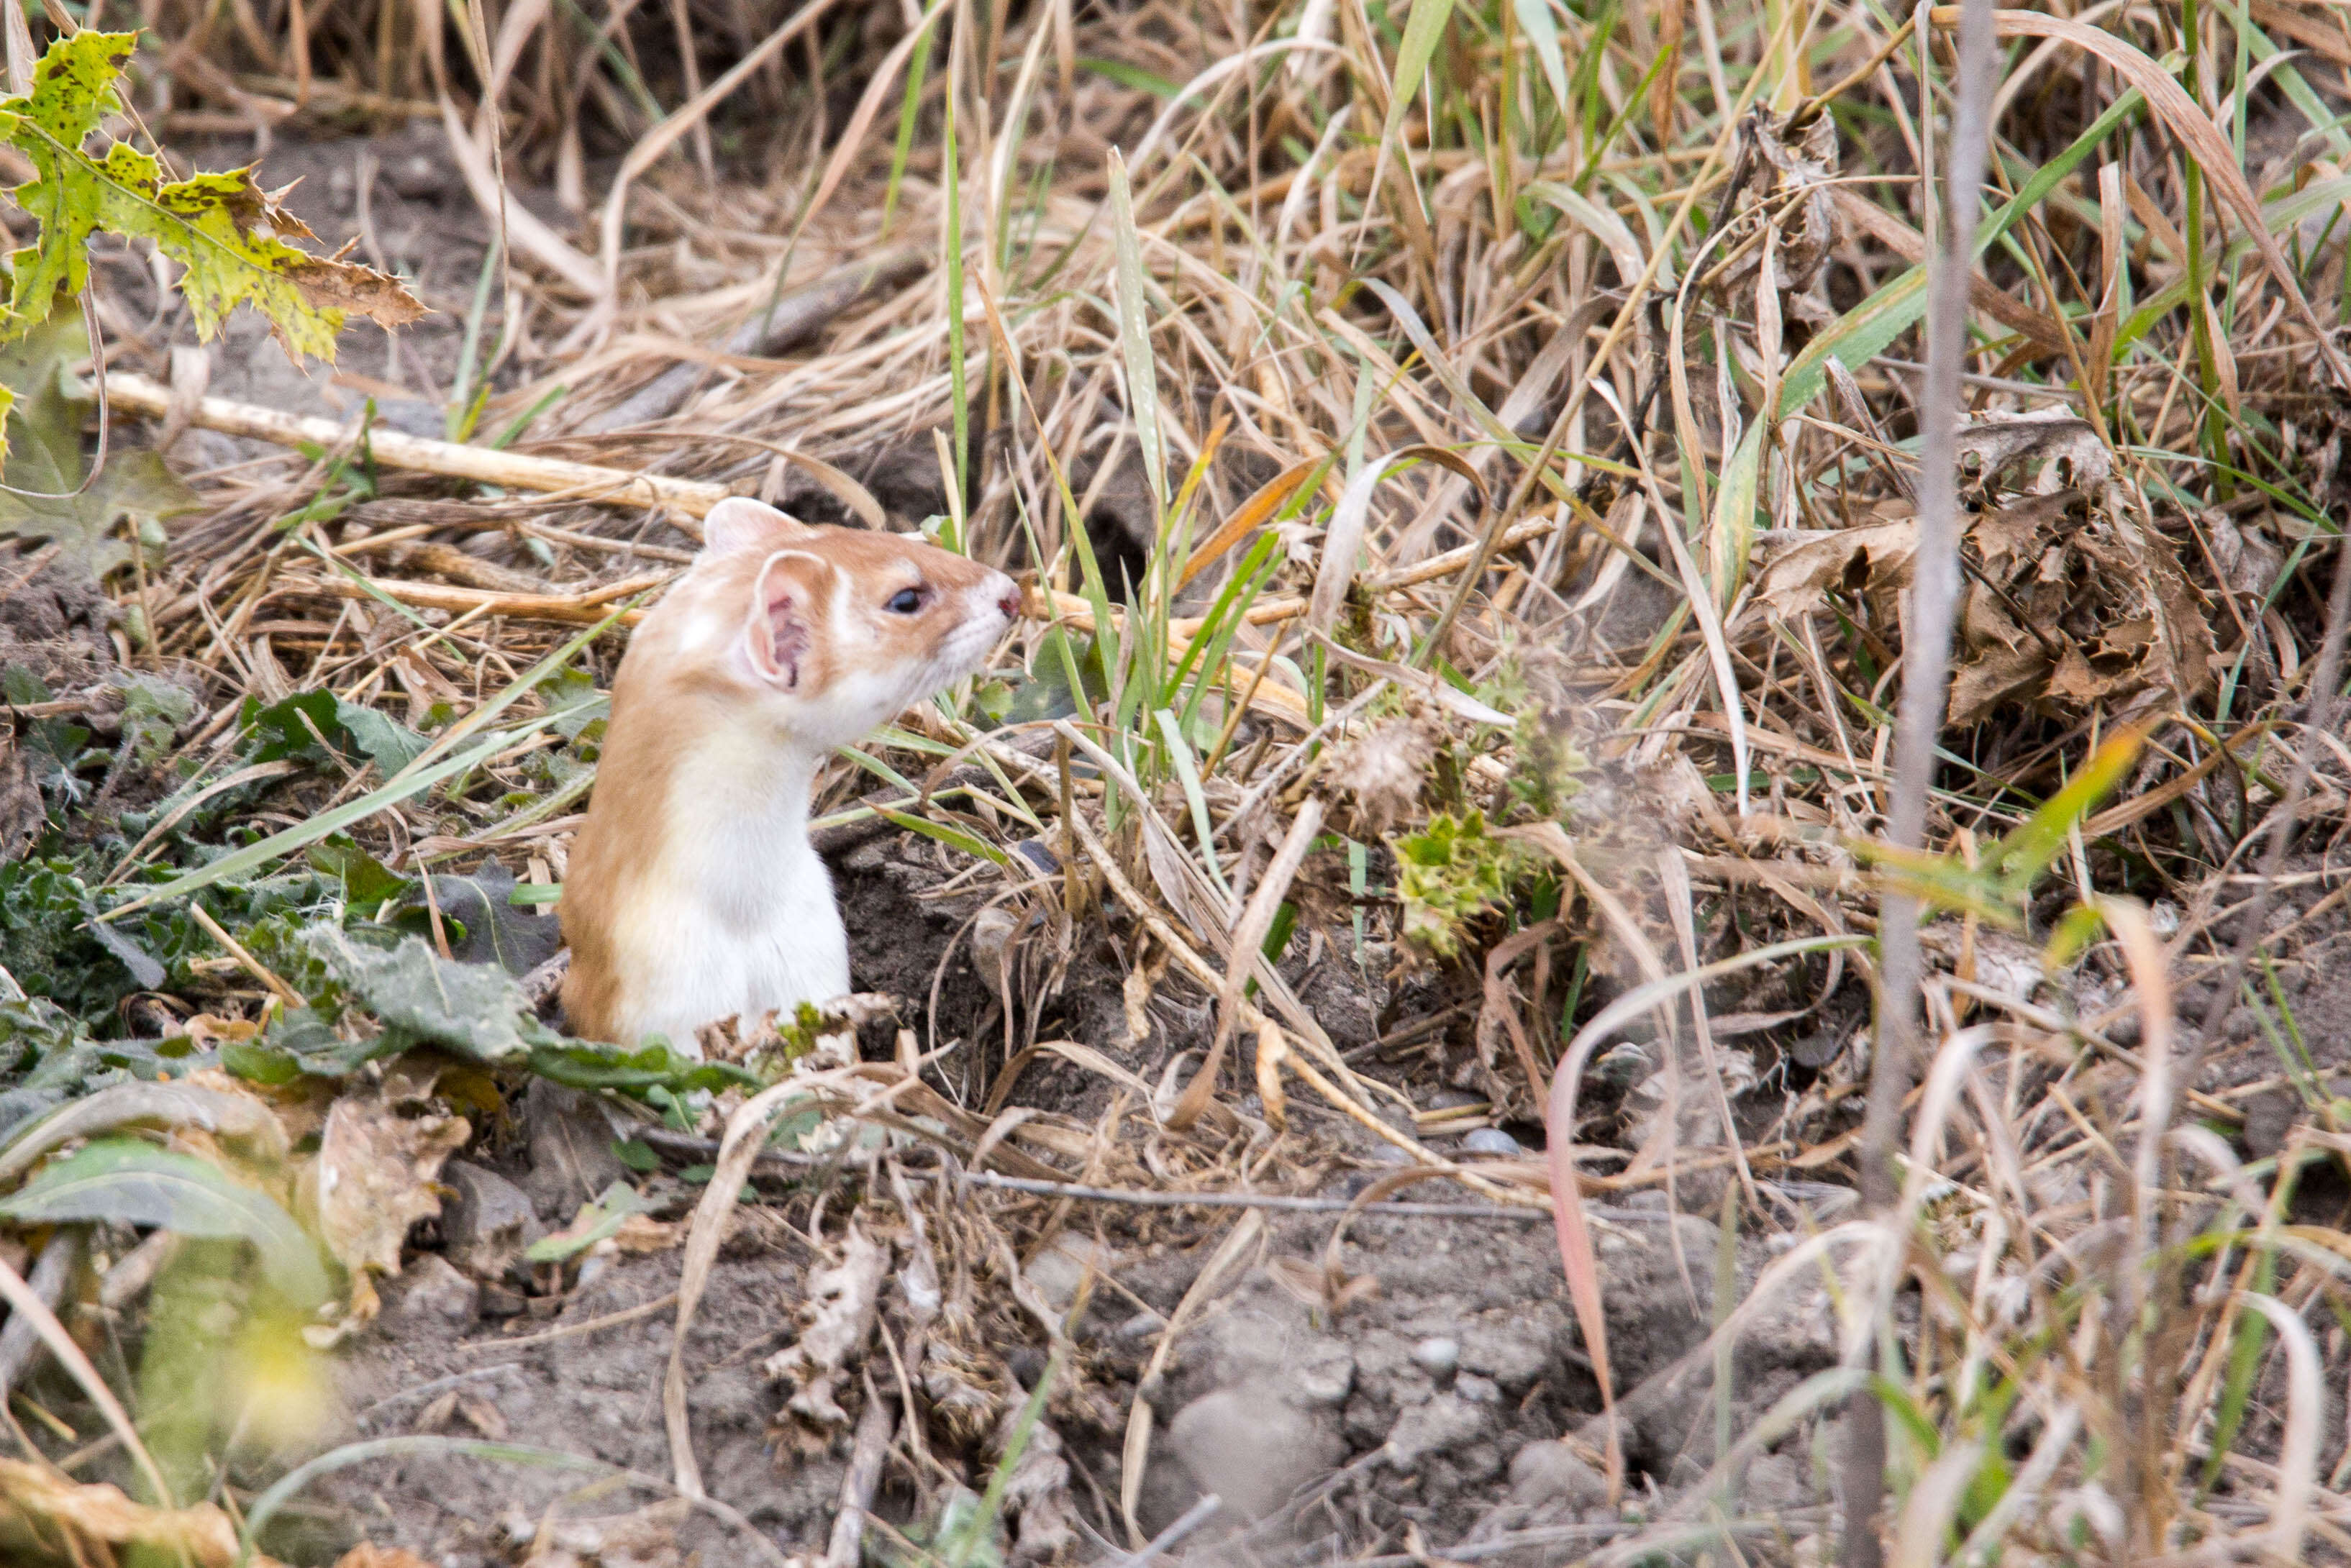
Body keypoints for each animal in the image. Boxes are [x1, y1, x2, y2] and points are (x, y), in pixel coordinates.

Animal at [566, 496, 1020, 1048]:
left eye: (885, 536)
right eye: (906, 597)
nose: (1012, 592)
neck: (746, 912)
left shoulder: (815, 956)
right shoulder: (656, 1002)